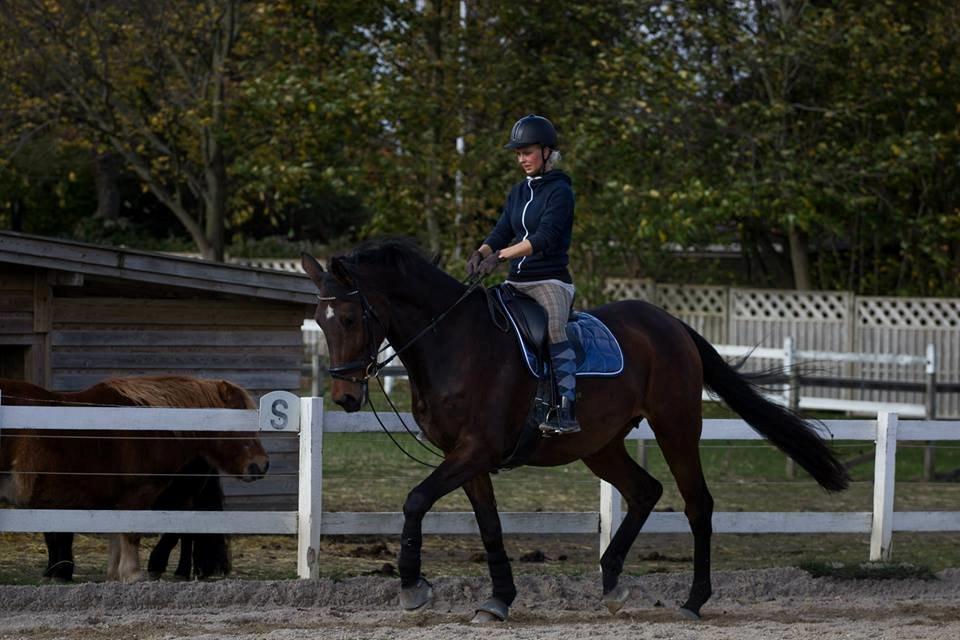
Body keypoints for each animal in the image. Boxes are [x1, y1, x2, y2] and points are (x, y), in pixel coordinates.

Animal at [0, 376, 268, 580]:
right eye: (241, 425)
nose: (261, 465)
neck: (146, 427)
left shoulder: (116, 501)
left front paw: (115, 574)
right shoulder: (137, 495)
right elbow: (131, 532)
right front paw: (133, 574)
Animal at [302, 239, 848, 620]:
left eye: (348, 317)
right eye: (319, 320)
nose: (345, 398)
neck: (454, 342)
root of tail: (669, 324)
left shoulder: (476, 449)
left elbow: (415, 500)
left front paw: (413, 588)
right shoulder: (467, 456)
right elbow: (489, 526)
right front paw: (498, 600)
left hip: (675, 428)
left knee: (697, 504)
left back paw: (693, 600)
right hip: (600, 445)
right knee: (645, 491)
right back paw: (612, 583)